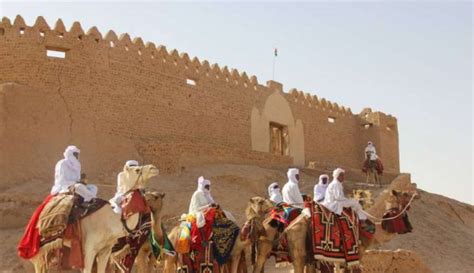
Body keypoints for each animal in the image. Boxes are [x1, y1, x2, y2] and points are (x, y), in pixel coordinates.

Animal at [28, 164, 160, 272]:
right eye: (137, 170)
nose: (154, 168)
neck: (110, 220)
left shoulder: (105, 251)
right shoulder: (89, 249)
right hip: (39, 247)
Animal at [252, 173, 418, 272]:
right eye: (404, 194)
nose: (415, 194)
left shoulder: (330, 259)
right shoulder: (356, 254)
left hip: (272, 249)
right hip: (297, 251)